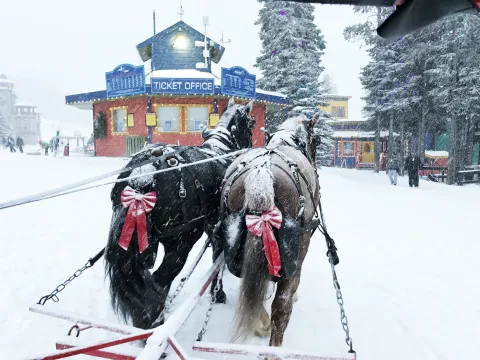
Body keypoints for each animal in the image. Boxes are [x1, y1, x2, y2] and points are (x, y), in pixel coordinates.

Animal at [104, 97, 255, 330]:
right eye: (252, 123)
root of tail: (143, 175)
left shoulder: (212, 228)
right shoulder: (218, 229)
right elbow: (217, 259)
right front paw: (218, 294)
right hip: (180, 243)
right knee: (159, 282)